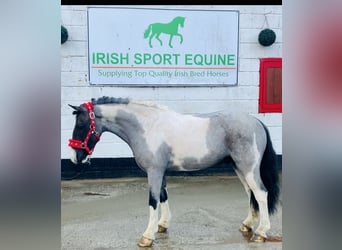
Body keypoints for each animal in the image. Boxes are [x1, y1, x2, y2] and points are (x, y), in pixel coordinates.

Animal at [68, 96, 280, 247]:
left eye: (81, 124)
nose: (74, 158)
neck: (147, 127)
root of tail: (256, 122)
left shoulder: (154, 171)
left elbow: (153, 201)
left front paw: (147, 236)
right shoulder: (160, 172)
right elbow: (163, 196)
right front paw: (162, 225)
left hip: (248, 168)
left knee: (261, 193)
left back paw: (261, 233)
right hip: (240, 168)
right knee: (251, 194)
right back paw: (248, 225)